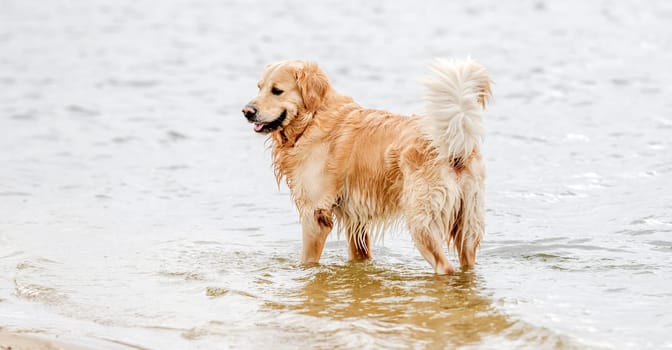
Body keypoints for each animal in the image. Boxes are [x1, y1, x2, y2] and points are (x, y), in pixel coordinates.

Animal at [242, 59, 488, 274]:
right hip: (467, 225)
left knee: (445, 267)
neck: (313, 119)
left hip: (422, 221)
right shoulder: (356, 220)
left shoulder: (315, 215)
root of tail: (455, 148)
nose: (247, 112)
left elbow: (308, 260)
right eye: (259, 87)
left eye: (277, 91)